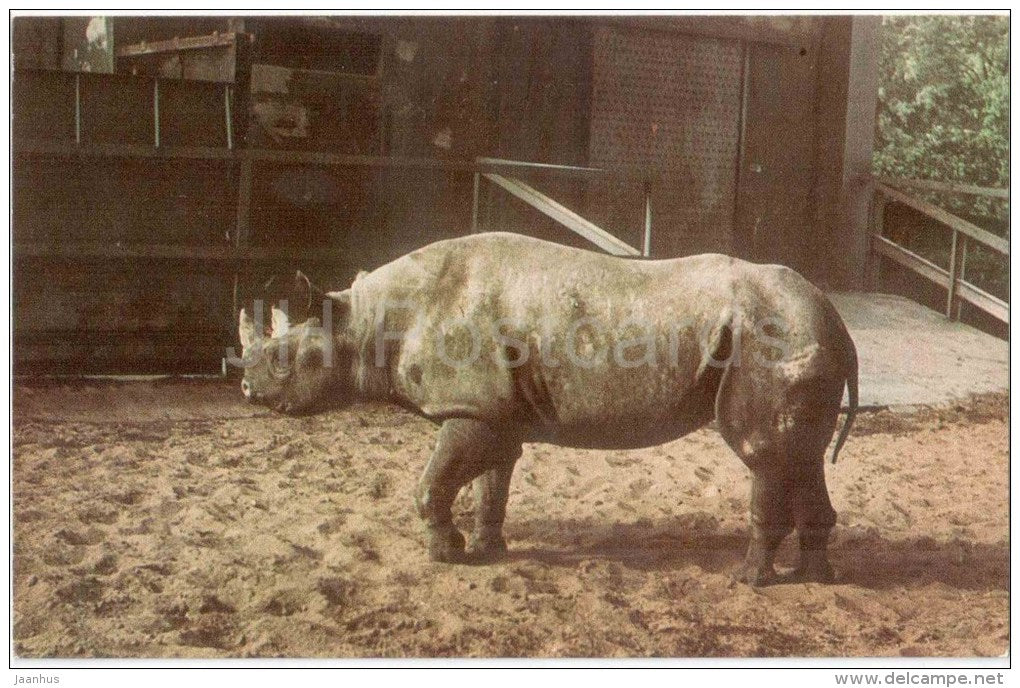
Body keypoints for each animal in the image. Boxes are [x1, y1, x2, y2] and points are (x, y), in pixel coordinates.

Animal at [237, 232, 858, 585]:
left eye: (283, 359)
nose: (247, 390)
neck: (364, 321)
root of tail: (837, 319)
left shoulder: (470, 406)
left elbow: (434, 482)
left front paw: (445, 556)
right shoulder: (492, 412)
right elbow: (492, 482)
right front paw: (487, 551)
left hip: (771, 336)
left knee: (763, 453)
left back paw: (748, 581)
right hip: (799, 336)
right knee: (801, 455)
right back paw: (817, 578)